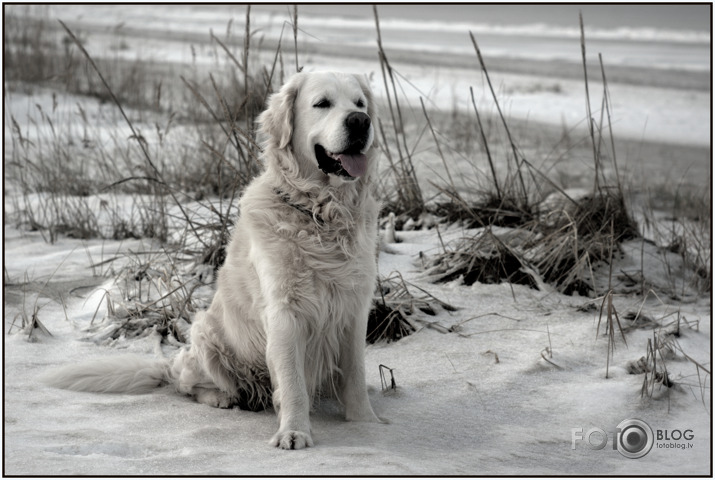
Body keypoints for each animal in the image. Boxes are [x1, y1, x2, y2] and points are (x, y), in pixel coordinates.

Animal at [42, 71, 384, 450]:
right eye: (322, 103)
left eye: (360, 103)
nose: (360, 122)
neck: (321, 215)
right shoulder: (284, 312)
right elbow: (293, 384)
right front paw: (294, 432)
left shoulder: (353, 308)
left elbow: (354, 374)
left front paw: (366, 423)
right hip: (206, 334)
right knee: (190, 385)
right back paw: (222, 397)